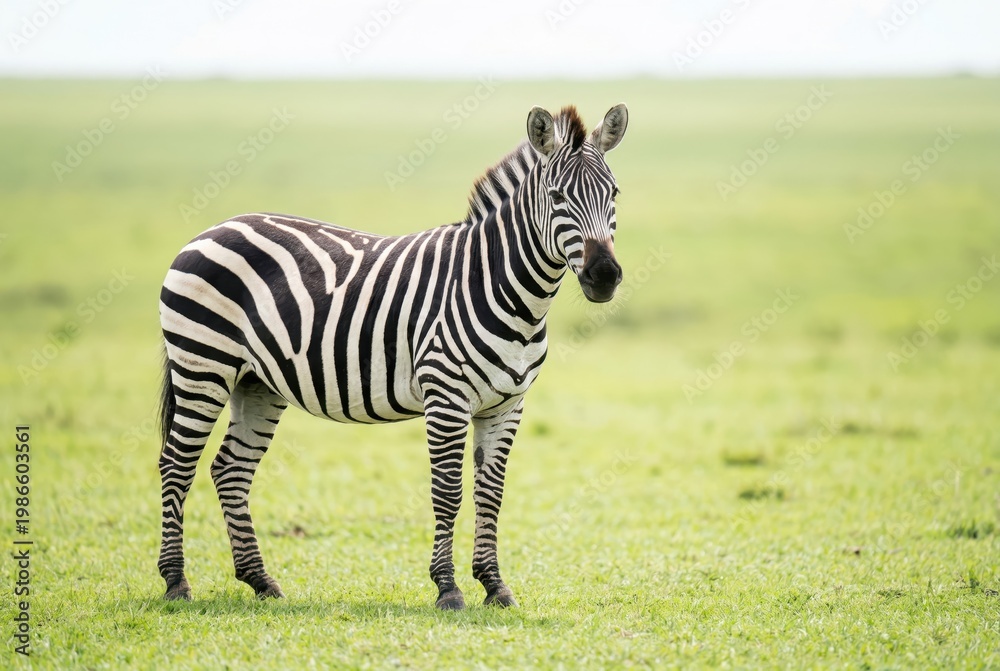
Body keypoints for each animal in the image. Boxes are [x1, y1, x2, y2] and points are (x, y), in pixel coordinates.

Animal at [157, 103, 629, 610]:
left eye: (614, 193)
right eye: (557, 197)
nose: (604, 275)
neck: (505, 290)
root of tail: (213, 229)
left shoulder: (508, 405)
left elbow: (491, 493)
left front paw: (495, 585)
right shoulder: (446, 397)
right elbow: (448, 491)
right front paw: (448, 588)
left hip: (256, 381)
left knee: (230, 469)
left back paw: (261, 581)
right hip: (203, 365)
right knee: (176, 464)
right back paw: (176, 582)